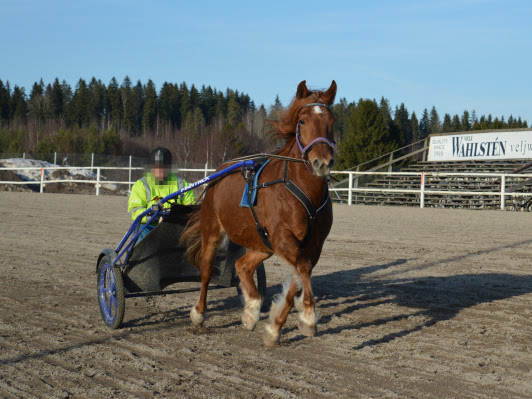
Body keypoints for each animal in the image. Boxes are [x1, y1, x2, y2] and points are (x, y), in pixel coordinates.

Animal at [181, 79, 334, 346]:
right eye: (302, 121)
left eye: (332, 121)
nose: (321, 162)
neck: (303, 190)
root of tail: (219, 171)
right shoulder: (283, 237)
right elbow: (303, 268)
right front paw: (307, 316)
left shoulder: (313, 245)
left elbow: (299, 274)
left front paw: (274, 328)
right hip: (212, 230)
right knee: (206, 270)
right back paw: (199, 313)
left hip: (262, 242)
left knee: (242, 265)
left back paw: (252, 308)